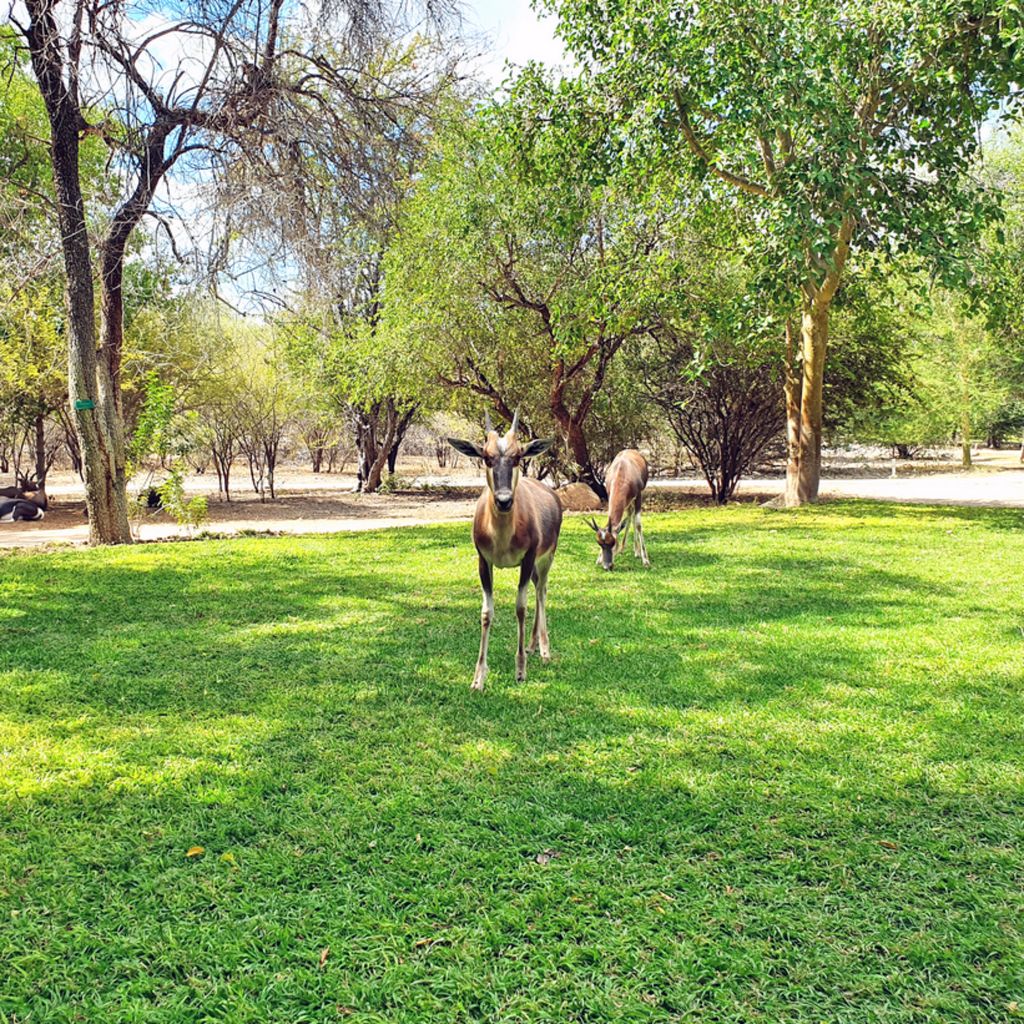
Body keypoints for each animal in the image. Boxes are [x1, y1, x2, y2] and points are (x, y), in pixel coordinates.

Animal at [448, 411, 561, 692]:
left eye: (518, 456)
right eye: (487, 457)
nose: (504, 501)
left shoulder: (528, 558)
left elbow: (520, 607)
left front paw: (520, 671)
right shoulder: (484, 562)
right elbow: (486, 613)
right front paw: (478, 678)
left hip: (545, 559)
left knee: (541, 592)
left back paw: (544, 651)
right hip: (533, 567)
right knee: (537, 588)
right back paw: (532, 646)